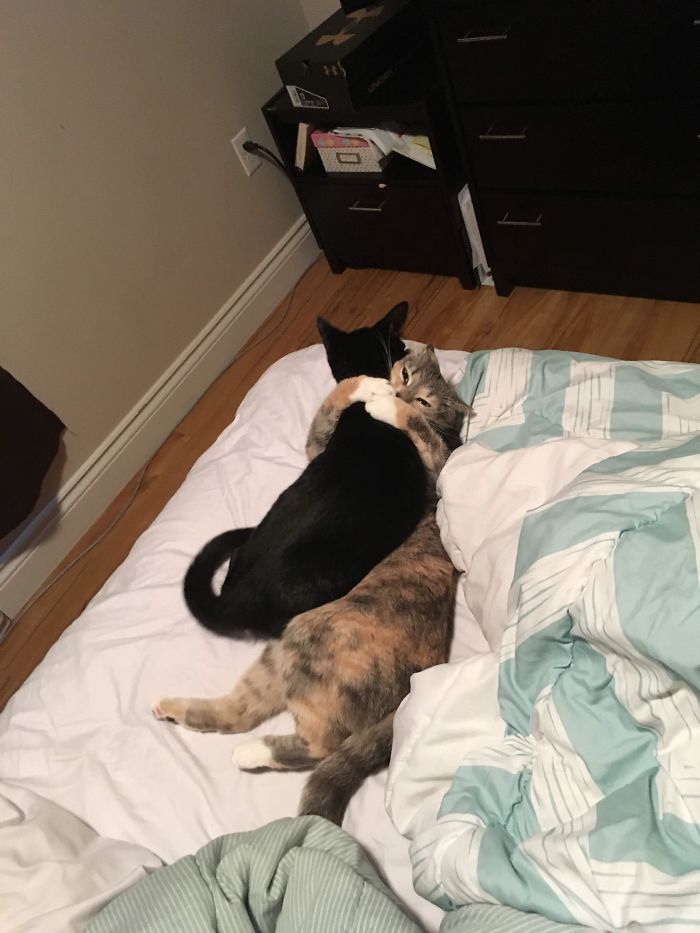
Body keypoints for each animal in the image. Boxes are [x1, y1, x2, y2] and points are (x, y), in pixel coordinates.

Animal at [154, 347, 470, 824]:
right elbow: (327, 407)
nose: (398, 390)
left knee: (321, 746)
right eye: (405, 372)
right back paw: (179, 715)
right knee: (238, 715)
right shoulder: (320, 444)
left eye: (425, 400)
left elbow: (408, 426)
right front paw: (369, 387)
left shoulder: (436, 468)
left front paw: (378, 399)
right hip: (281, 652)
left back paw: (251, 752)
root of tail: (412, 689)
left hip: (309, 633)